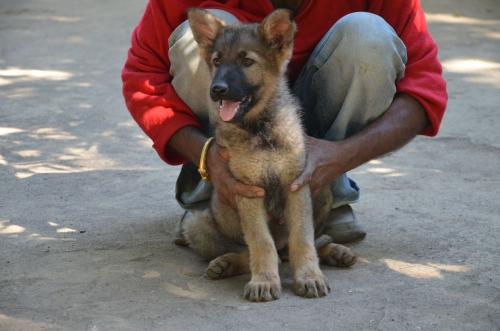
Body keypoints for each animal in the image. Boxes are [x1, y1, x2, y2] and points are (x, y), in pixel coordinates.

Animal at [184, 8, 356, 304]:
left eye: (246, 61)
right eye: (217, 61)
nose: (216, 89)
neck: (261, 129)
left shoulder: (296, 185)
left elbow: (303, 238)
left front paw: (309, 276)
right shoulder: (248, 190)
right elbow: (260, 242)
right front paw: (263, 281)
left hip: (322, 193)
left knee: (310, 242)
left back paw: (336, 252)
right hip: (196, 225)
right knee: (254, 251)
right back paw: (226, 263)